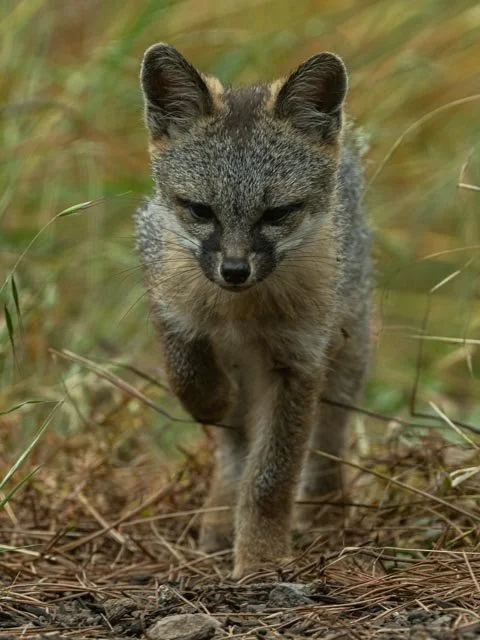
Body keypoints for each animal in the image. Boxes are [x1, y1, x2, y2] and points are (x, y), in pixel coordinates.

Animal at [135, 43, 372, 578]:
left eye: (277, 214)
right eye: (200, 210)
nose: (234, 270)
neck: (238, 314)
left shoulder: (298, 362)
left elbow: (271, 476)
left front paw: (262, 557)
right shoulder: (166, 299)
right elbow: (187, 374)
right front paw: (212, 398)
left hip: (345, 366)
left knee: (324, 447)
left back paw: (322, 513)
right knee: (233, 449)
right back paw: (219, 521)